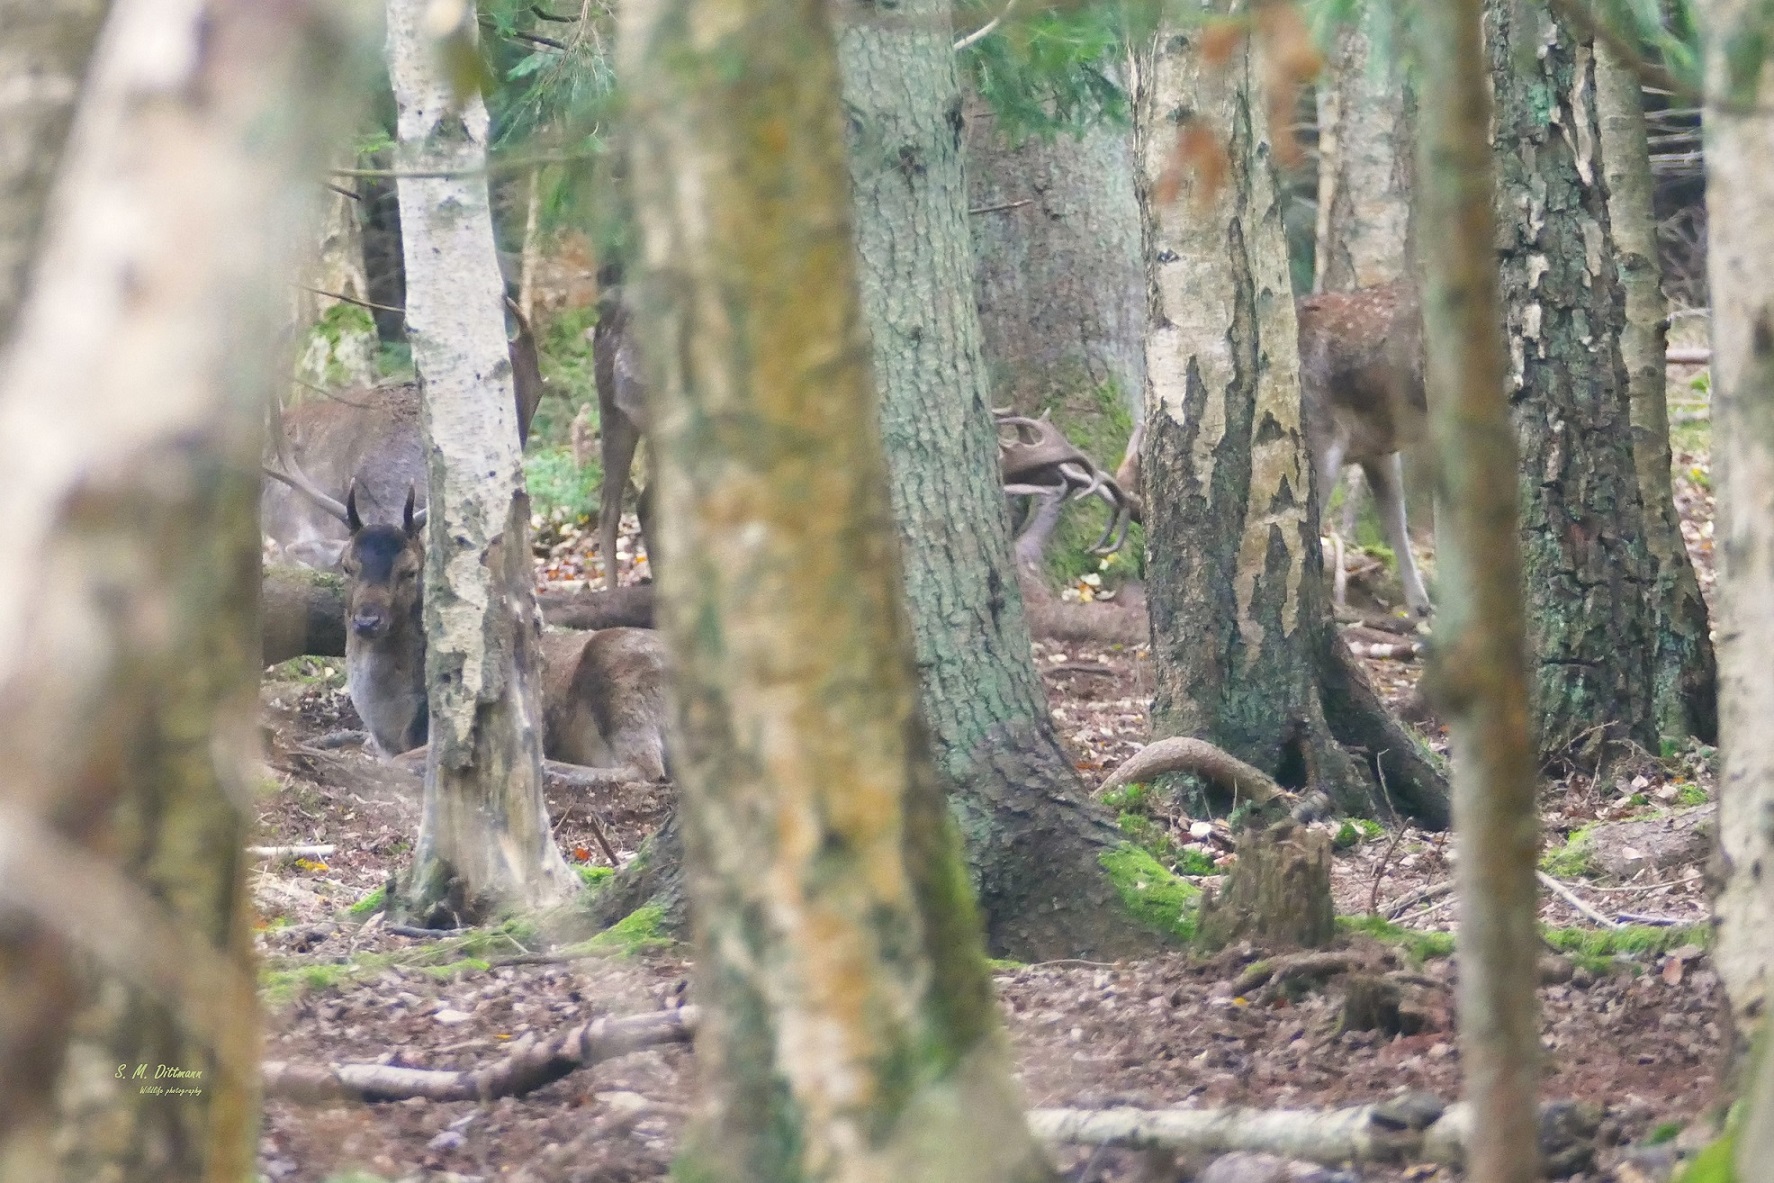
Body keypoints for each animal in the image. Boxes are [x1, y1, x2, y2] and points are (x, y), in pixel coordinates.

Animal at [269, 464, 670, 787]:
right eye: (346, 566)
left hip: (618, 671)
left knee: (647, 768)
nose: (367, 620)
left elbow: (398, 763)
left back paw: (546, 766)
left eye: (410, 571)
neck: (392, 724)